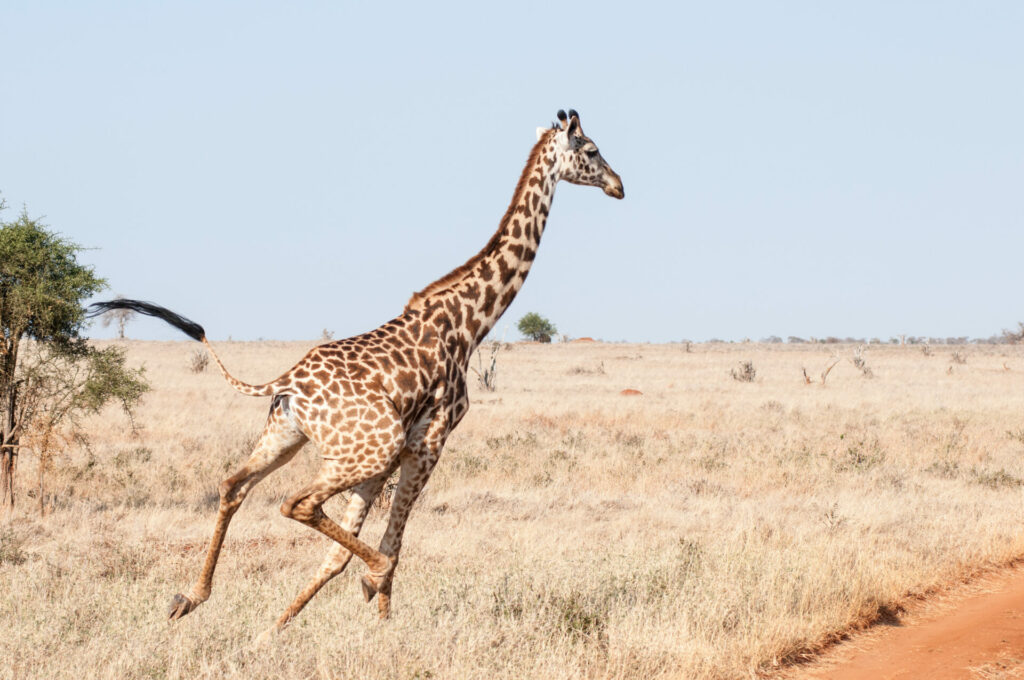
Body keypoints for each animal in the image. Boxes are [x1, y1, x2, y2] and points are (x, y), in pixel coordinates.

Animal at [90, 109, 622, 634]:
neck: (470, 323)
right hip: (364, 450)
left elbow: (336, 556)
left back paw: (189, 598)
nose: (618, 185)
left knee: (232, 486)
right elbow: (388, 548)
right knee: (299, 504)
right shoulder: (424, 443)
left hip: (291, 437)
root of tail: (286, 382)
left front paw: (275, 631)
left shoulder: (394, 455)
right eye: (593, 150)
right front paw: (378, 615)